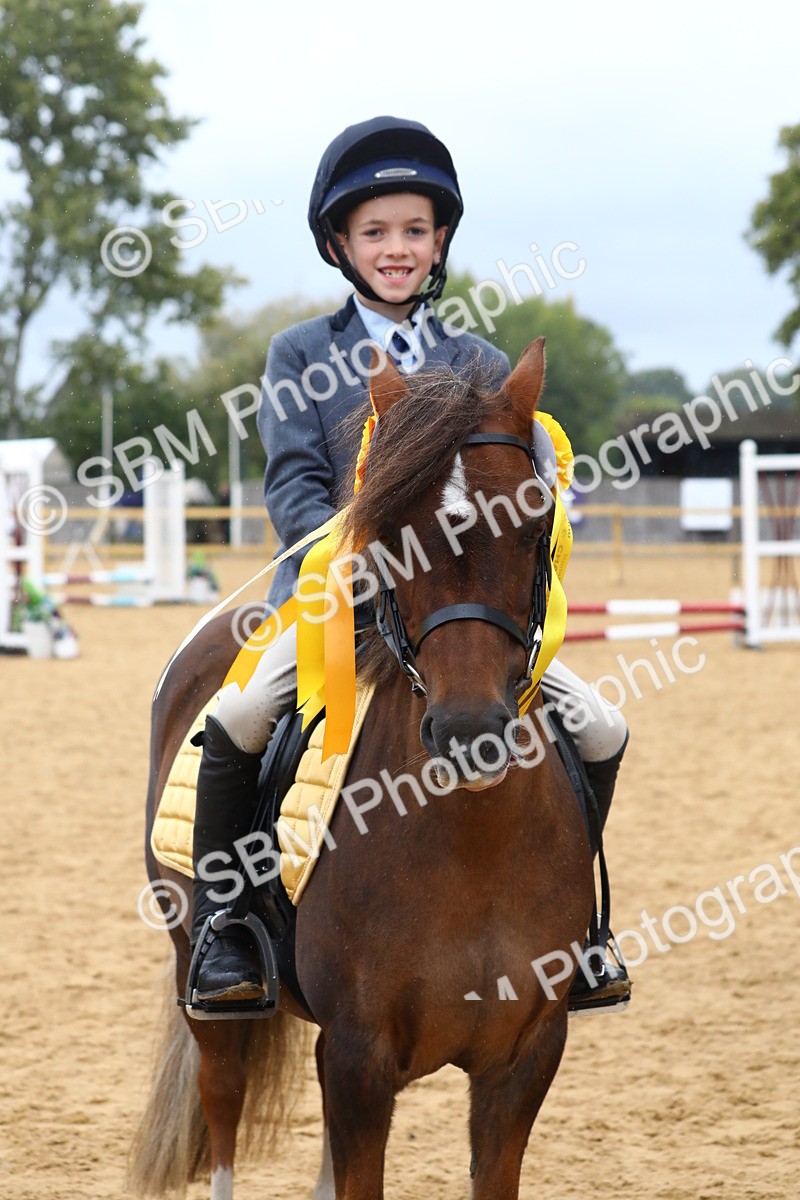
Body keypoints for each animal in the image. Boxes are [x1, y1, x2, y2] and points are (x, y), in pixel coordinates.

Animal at [130, 338, 595, 1200]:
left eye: (532, 527)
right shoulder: (357, 1054)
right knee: (221, 1098)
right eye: (392, 532)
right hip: (197, 973)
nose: (471, 732)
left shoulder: (523, 1058)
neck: (472, 842)